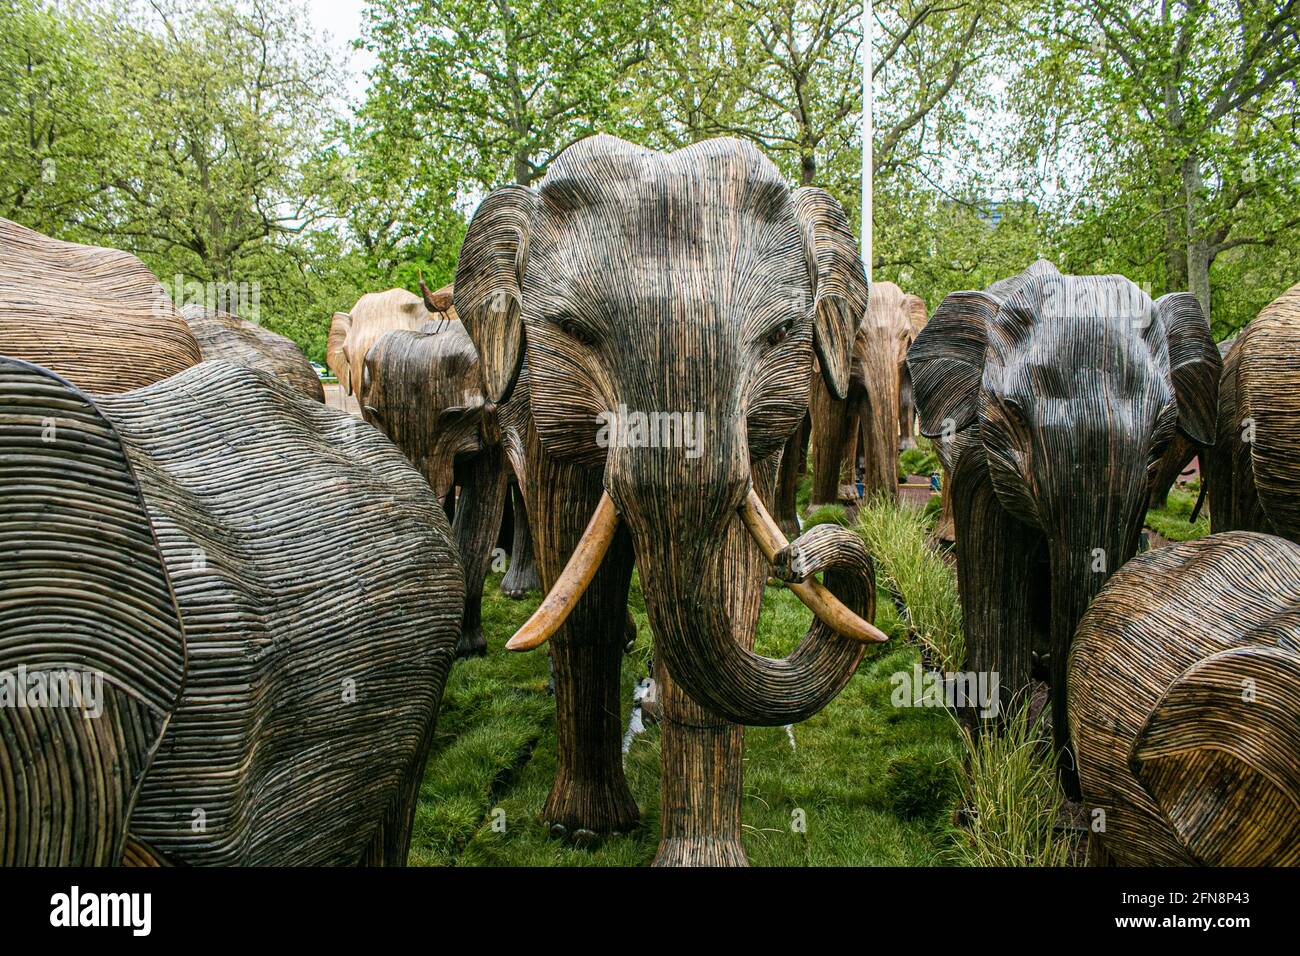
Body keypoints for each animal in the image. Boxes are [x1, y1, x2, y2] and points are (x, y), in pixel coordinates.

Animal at [452, 134, 886, 866]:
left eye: (783, 333)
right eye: (570, 330)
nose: (800, 558)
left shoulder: (762, 437)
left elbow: (729, 594)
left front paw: (700, 856)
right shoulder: (541, 412)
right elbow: (581, 599)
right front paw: (580, 832)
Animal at [907, 259, 1221, 794]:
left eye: (1160, 442)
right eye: (1013, 415)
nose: (1072, 779)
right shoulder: (977, 459)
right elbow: (992, 577)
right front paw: (998, 750)